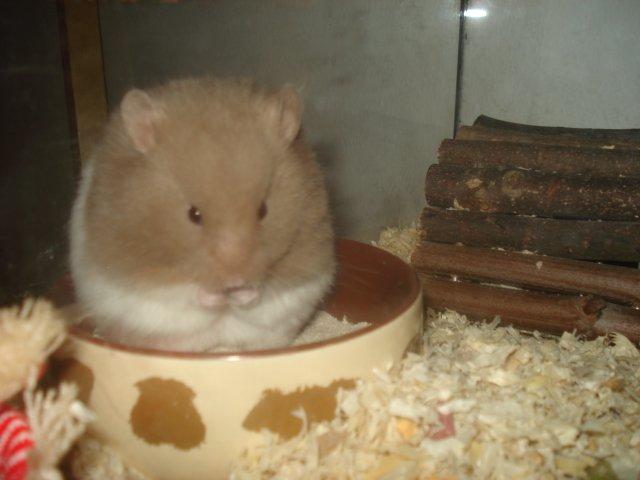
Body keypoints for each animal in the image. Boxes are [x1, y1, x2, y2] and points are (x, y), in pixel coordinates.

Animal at [69, 77, 336, 352]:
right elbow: (186, 292)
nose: (234, 281)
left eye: (264, 210)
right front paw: (218, 297)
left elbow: (265, 292)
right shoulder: (151, 282)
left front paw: (240, 295)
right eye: (193, 214)